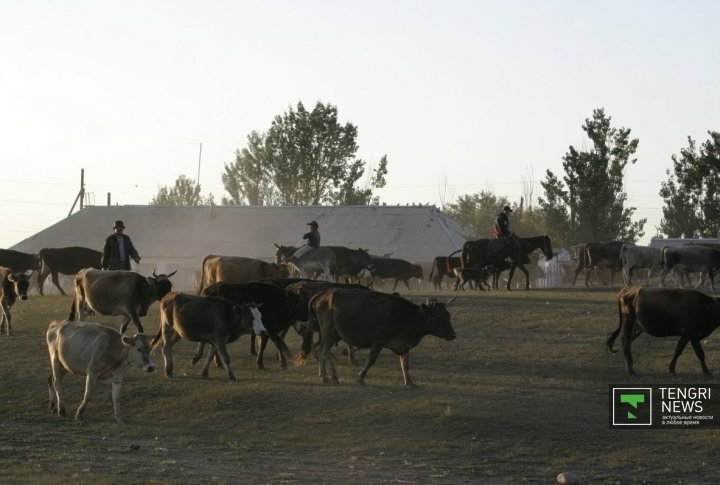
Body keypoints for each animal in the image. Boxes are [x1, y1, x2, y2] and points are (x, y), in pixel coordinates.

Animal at [308, 288, 456, 386]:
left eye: (449, 315)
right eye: (439, 317)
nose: (453, 334)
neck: (406, 316)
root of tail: (323, 295)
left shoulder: (404, 345)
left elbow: (405, 364)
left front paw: (409, 382)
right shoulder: (378, 341)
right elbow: (371, 360)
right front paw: (361, 377)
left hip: (332, 334)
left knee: (324, 351)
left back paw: (329, 375)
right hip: (328, 331)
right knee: (324, 351)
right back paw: (327, 376)